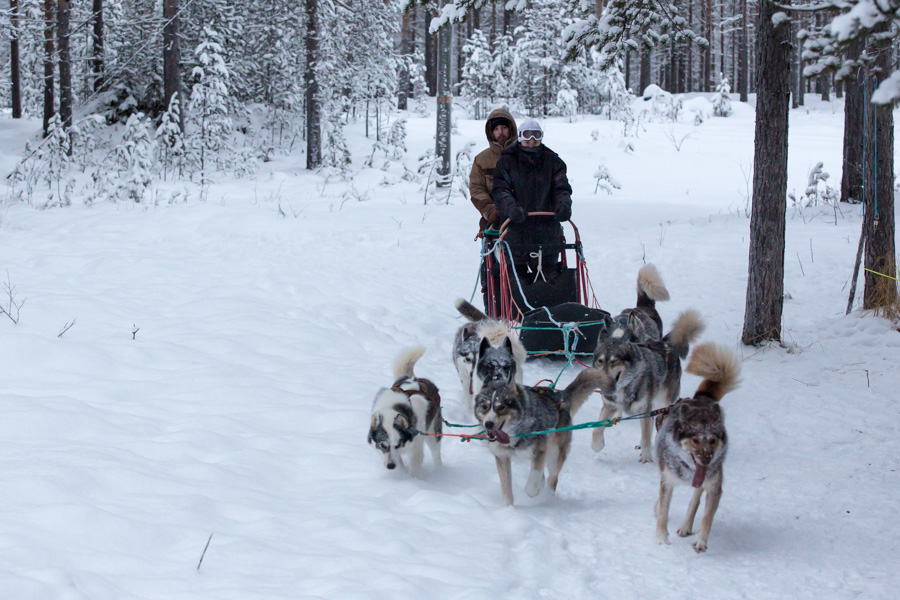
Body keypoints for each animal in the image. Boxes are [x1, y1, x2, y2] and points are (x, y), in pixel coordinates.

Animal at [366, 346, 442, 478]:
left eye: (398, 444)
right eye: (383, 445)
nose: (391, 466)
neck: (393, 408)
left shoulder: (416, 446)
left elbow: (415, 464)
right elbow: (399, 461)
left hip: (432, 432)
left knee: (436, 452)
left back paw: (440, 471)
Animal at [472, 368, 604, 504]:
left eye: (501, 407)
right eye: (484, 407)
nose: (488, 424)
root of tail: (560, 397)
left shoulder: (539, 452)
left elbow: (532, 485)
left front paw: (534, 492)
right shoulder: (502, 457)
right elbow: (506, 487)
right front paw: (507, 507)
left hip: (555, 453)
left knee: (552, 479)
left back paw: (548, 496)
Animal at [652, 342, 740, 552]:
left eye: (713, 440)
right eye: (695, 440)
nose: (706, 459)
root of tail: (701, 398)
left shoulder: (714, 487)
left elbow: (707, 517)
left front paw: (701, 540)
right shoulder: (667, 482)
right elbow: (664, 511)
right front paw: (661, 537)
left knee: (695, 501)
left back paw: (686, 526)